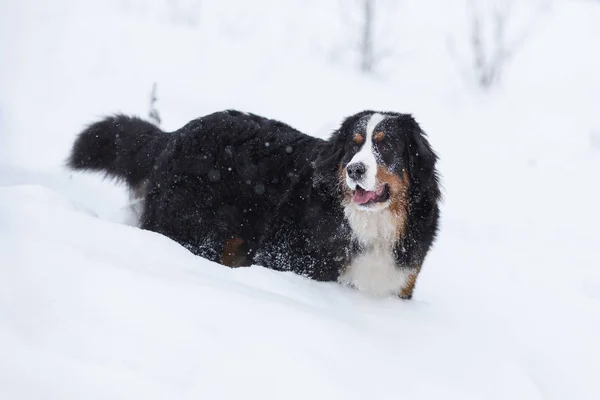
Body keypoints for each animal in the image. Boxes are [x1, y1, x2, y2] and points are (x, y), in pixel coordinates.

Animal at [69, 111, 440, 298]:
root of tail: (175, 135)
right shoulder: (284, 257)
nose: (355, 169)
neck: (369, 224)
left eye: (385, 146)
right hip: (194, 231)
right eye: (354, 145)